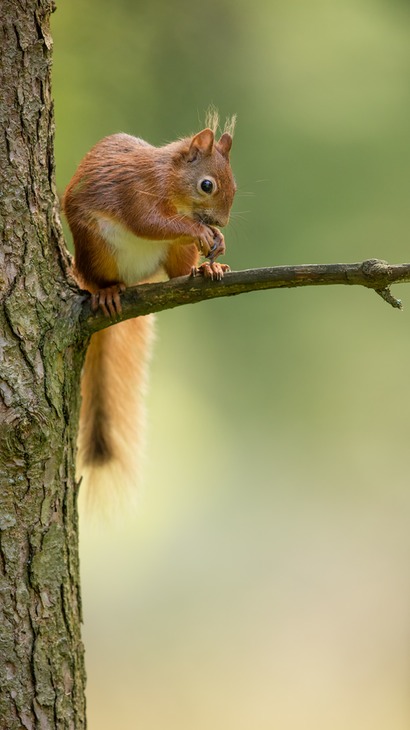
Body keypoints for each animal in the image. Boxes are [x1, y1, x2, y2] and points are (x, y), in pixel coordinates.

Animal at [63, 114, 237, 500]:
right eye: (207, 185)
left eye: (235, 184)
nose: (220, 223)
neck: (170, 180)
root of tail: (136, 278)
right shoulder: (137, 191)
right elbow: (148, 222)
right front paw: (200, 232)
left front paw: (216, 244)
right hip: (96, 248)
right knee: (103, 276)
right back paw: (107, 291)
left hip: (173, 252)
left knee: (179, 271)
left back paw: (206, 269)